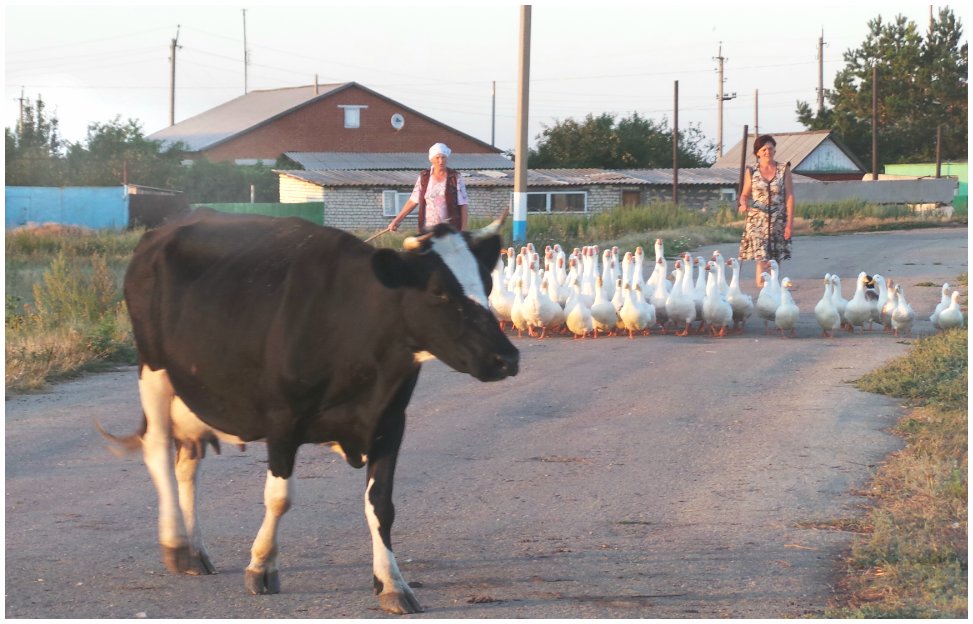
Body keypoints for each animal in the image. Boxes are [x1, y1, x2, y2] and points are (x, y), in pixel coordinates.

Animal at [108, 211, 516, 616]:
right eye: (437, 291)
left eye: (487, 282)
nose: (506, 358)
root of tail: (164, 230)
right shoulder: (281, 420)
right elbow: (279, 498)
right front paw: (262, 566)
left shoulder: (389, 421)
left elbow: (381, 505)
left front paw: (392, 583)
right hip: (154, 372)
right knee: (158, 452)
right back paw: (176, 544)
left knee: (188, 465)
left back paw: (195, 552)